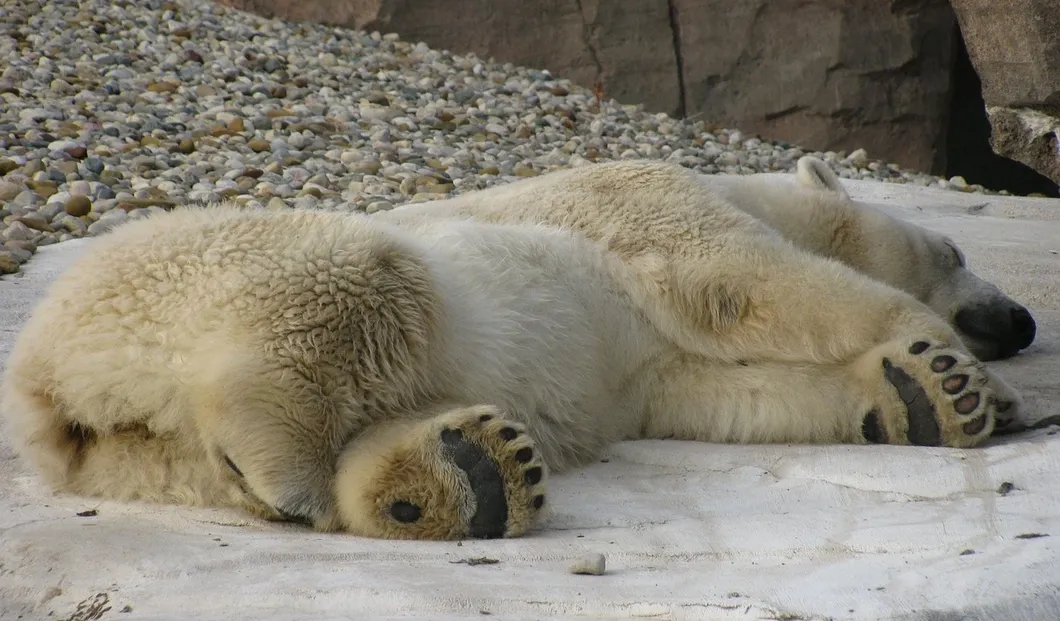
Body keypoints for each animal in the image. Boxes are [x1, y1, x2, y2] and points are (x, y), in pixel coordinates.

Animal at [1, 160, 1019, 541]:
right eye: (954, 248)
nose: (1020, 321)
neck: (744, 184)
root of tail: (49, 386)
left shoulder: (652, 365)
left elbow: (725, 393)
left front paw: (933, 398)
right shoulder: (648, 201)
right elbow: (745, 285)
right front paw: (959, 371)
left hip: (139, 460)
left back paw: (461, 477)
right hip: (212, 269)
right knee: (360, 285)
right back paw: (296, 468)